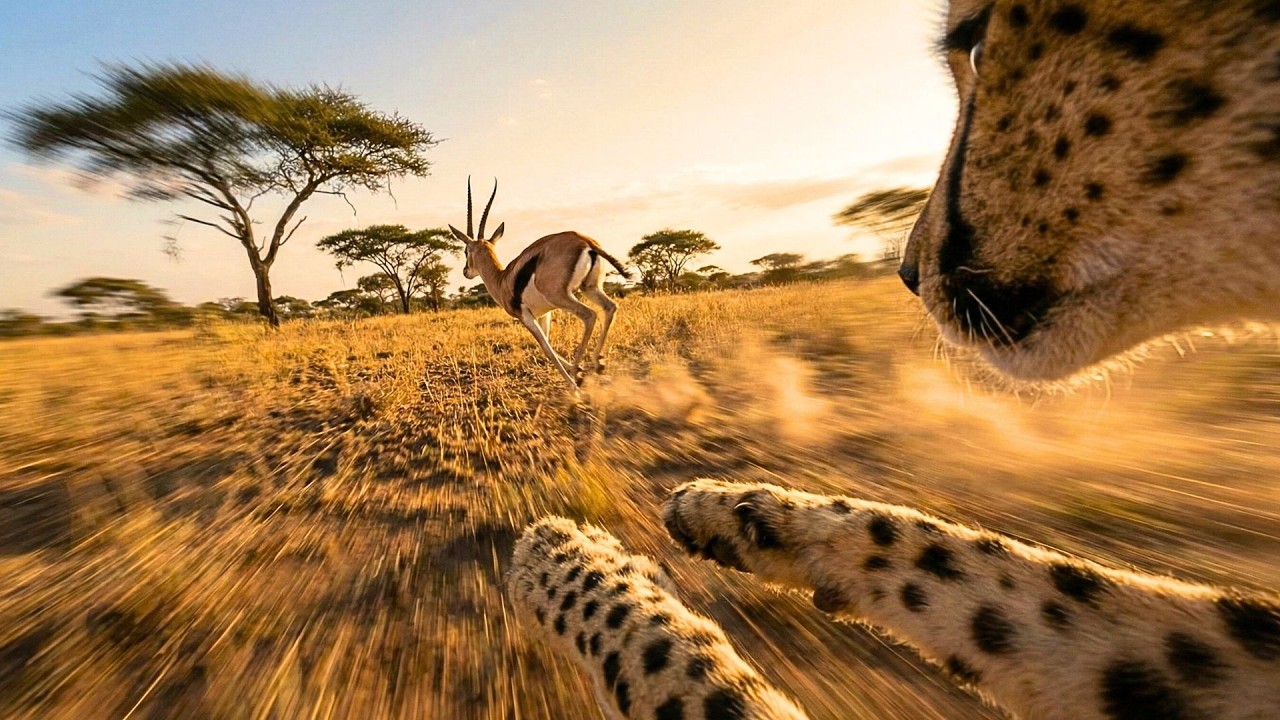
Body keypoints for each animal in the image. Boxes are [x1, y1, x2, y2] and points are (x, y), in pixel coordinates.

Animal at [448, 178, 632, 391]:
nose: (466, 271)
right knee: (610, 307)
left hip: (562, 297)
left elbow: (545, 348)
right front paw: (577, 372)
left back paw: (579, 375)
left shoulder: (525, 316)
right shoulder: (545, 314)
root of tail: (586, 241)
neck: (501, 280)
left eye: (466, 251)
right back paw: (597, 364)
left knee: (590, 315)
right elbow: (548, 343)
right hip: (589, 288)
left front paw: (575, 382)